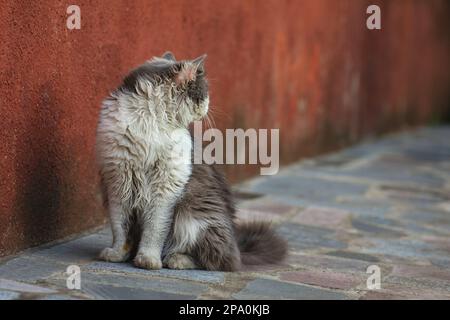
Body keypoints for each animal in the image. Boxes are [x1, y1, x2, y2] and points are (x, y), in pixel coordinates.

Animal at [96, 52, 286, 270]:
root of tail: (237, 246)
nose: (207, 106)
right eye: (203, 94)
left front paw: (148, 260)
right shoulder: (118, 182)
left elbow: (154, 229)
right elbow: (120, 230)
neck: (149, 121)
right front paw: (116, 254)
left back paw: (175, 260)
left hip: (194, 219)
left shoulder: (165, 189)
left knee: (215, 260)